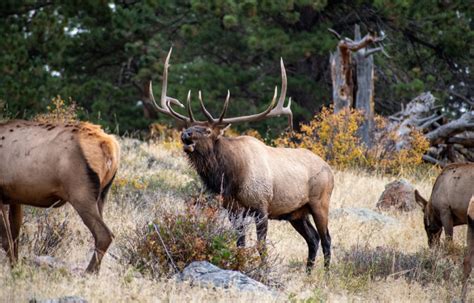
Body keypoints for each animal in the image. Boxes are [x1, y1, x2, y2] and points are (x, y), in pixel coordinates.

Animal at [0, 120, 120, 274]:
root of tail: (110, 145)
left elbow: (6, 239)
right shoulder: (15, 198)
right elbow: (15, 237)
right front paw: (15, 267)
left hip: (80, 192)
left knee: (104, 234)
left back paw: (88, 273)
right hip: (102, 195)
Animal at [146, 48, 336, 272]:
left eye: (207, 130)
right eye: (189, 126)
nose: (186, 134)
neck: (232, 178)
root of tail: (330, 170)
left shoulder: (261, 206)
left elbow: (261, 246)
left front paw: (263, 270)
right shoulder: (232, 209)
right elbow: (240, 243)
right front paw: (240, 265)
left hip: (320, 202)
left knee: (326, 238)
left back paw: (325, 274)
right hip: (296, 213)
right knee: (313, 239)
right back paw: (308, 273)